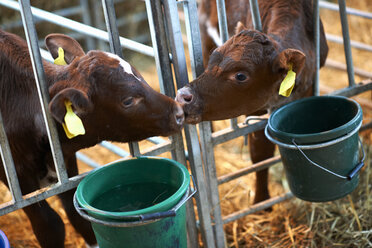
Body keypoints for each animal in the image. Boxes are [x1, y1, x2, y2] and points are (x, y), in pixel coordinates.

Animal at [0, 30, 184, 248]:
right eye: (127, 100)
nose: (179, 112)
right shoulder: (18, 176)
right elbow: (49, 225)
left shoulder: (65, 165)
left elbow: (78, 217)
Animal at [176, 0, 326, 203]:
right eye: (213, 61)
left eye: (240, 75)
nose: (183, 95)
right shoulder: (255, 106)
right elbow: (260, 152)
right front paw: (262, 200)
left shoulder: (309, 85)